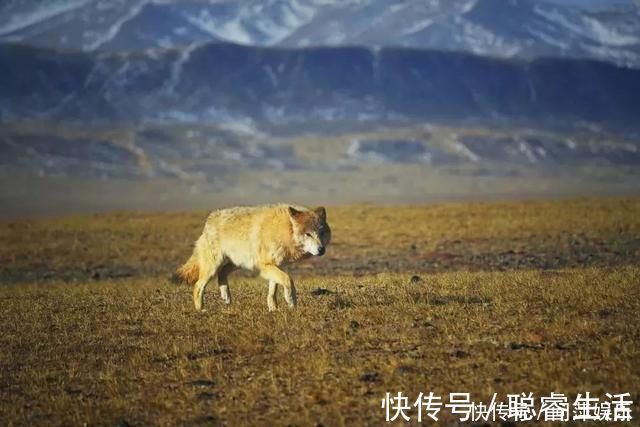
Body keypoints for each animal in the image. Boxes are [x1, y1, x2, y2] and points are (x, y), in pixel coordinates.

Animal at [174, 204, 330, 310]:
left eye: (321, 233)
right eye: (308, 234)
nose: (321, 249)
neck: (284, 230)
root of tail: (209, 220)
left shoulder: (277, 265)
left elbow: (273, 290)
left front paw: (273, 309)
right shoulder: (265, 266)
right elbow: (288, 280)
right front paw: (291, 301)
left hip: (236, 264)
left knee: (222, 273)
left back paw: (226, 297)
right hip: (213, 267)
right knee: (198, 286)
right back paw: (201, 310)